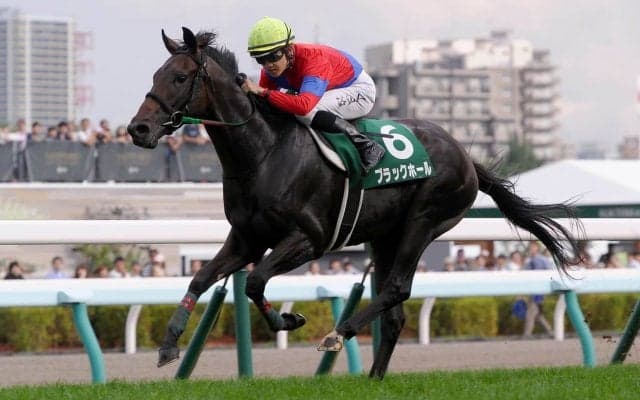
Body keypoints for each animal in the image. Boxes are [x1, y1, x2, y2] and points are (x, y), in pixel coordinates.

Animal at [127, 27, 582, 379]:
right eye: (156, 74)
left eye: (181, 76)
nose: (138, 129)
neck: (264, 153)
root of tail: (467, 157)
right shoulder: (246, 239)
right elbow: (200, 279)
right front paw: (168, 345)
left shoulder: (308, 239)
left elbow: (255, 282)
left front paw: (290, 319)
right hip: (384, 237)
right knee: (395, 311)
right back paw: (374, 376)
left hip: (424, 222)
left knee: (396, 289)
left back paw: (339, 333)